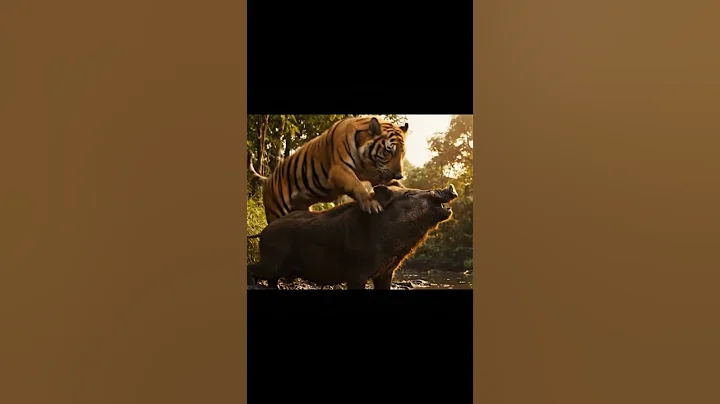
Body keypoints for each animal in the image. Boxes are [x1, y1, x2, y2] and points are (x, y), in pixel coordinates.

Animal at [248, 116, 410, 224]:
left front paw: (402, 186)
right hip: (275, 213)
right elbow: (357, 185)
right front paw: (372, 205)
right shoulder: (339, 170)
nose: (399, 175)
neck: (367, 163)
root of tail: (268, 179)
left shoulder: (376, 173)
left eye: (402, 153)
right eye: (389, 151)